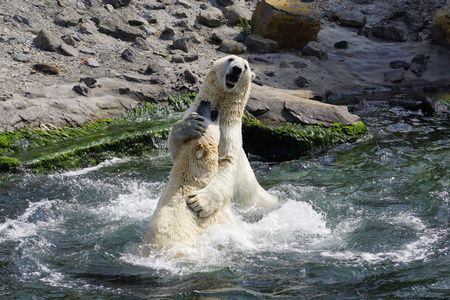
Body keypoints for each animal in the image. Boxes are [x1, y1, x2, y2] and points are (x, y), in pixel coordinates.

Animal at [168, 54, 278, 218]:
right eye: (230, 59)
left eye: (246, 66)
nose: (237, 69)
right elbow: (179, 152)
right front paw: (191, 125)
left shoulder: (229, 134)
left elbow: (226, 163)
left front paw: (198, 202)